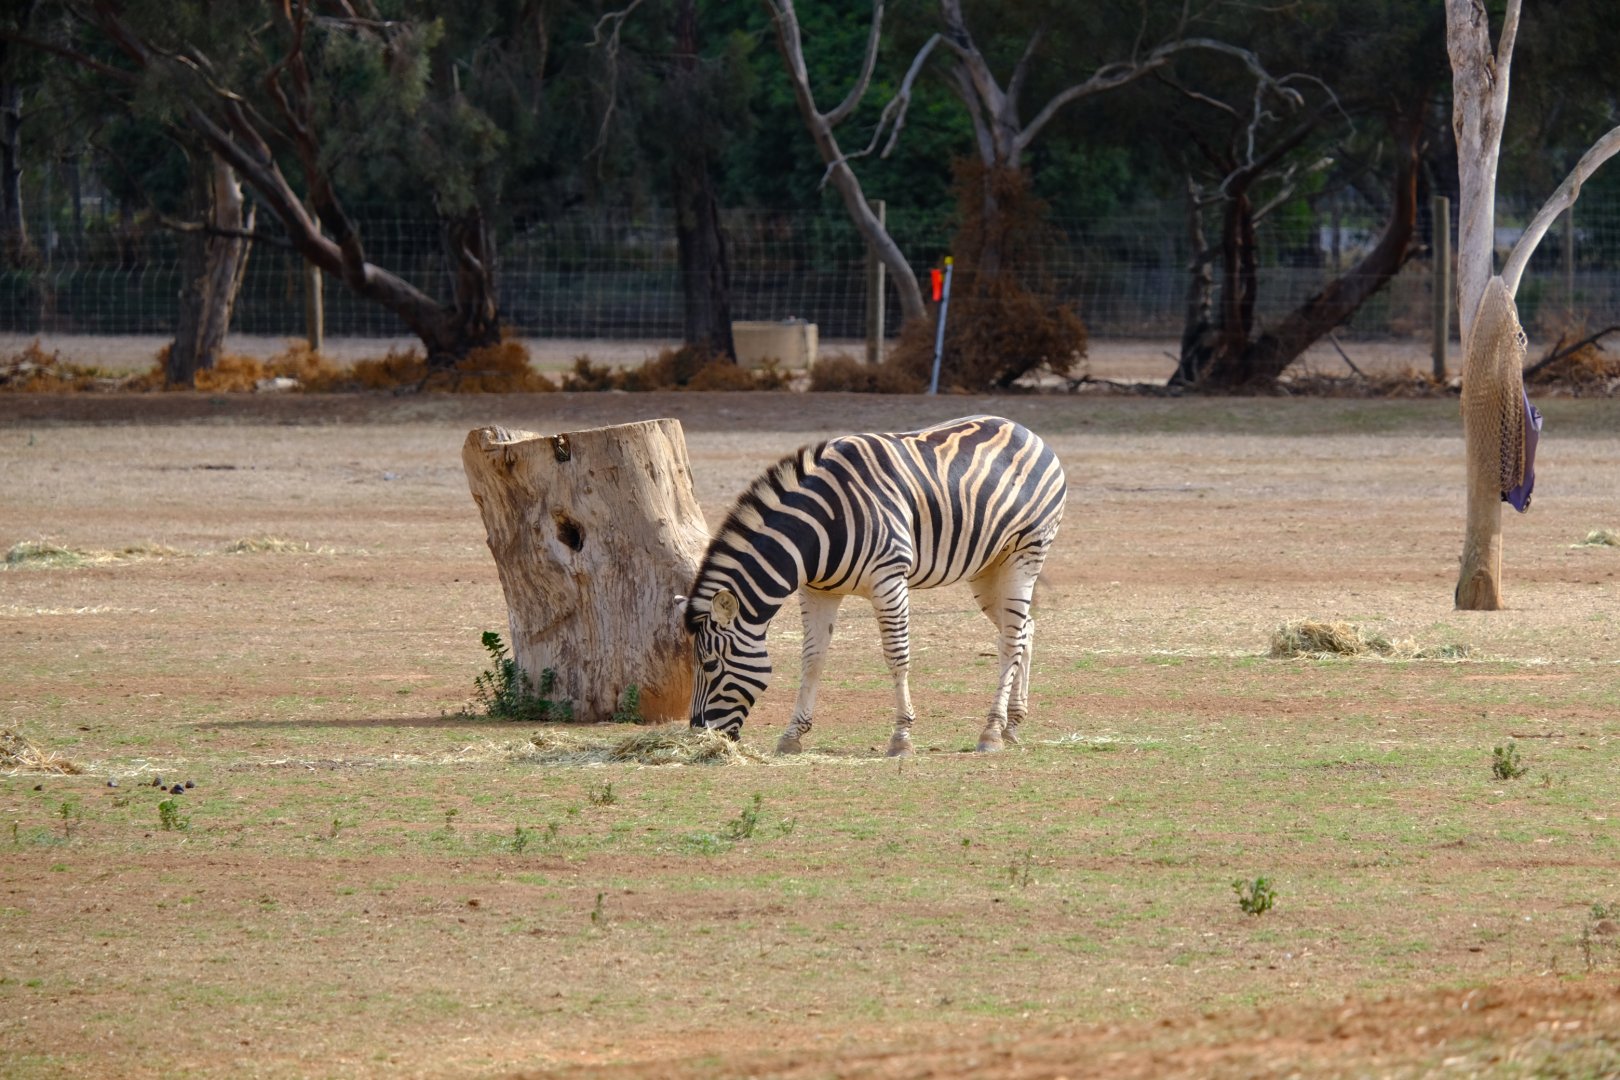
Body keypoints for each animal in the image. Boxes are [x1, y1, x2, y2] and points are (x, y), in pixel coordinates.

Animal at [679, 414, 1067, 755]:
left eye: (710, 665)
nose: (697, 733)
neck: (819, 529)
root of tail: (1027, 432)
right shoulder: (817, 590)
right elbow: (812, 659)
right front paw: (792, 736)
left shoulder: (888, 579)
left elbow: (897, 656)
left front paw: (901, 739)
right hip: (987, 568)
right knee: (1023, 630)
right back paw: (1012, 725)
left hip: (1025, 555)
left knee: (1010, 641)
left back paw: (991, 732)